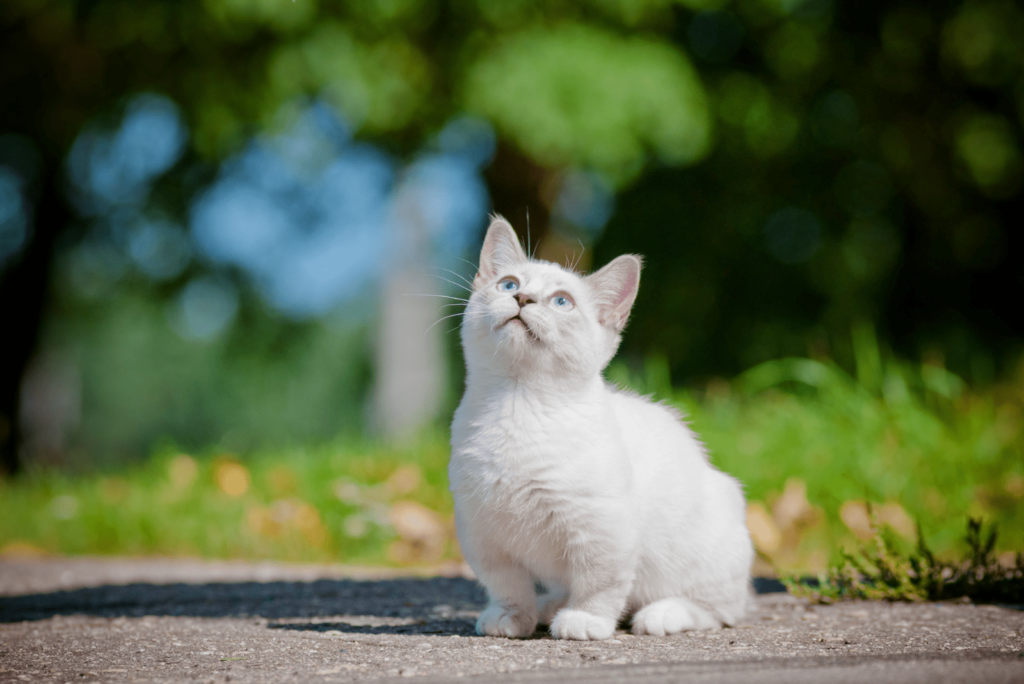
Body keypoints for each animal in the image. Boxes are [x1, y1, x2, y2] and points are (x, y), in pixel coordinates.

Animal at [450, 216, 753, 638]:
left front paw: (585, 620)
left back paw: (663, 613)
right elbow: (505, 583)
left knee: (723, 610)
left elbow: (599, 580)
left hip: (704, 555)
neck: (516, 403)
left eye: (562, 301)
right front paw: (511, 616)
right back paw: (549, 605)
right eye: (508, 284)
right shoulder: (481, 530)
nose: (522, 298)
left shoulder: (602, 528)